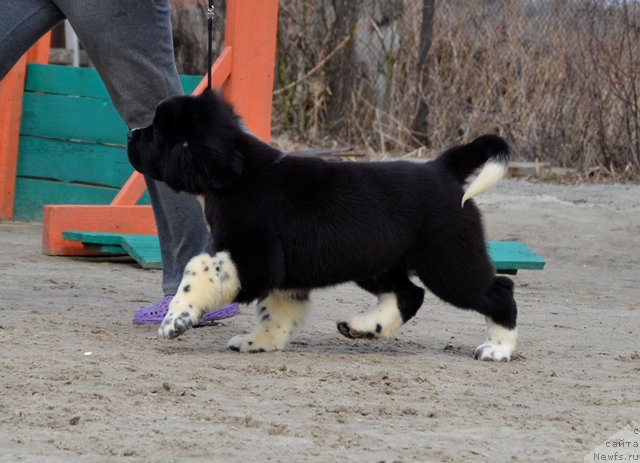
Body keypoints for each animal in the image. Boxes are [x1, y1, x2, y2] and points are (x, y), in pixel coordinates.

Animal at [127, 89, 516, 362]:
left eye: (157, 131)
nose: (131, 134)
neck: (236, 179)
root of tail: (443, 167)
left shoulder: (256, 260)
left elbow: (199, 270)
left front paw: (176, 319)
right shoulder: (282, 273)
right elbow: (277, 312)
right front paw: (260, 342)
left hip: (448, 262)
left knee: (499, 290)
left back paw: (497, 348)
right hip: (375, 261)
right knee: (408, 294)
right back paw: (364, 327)